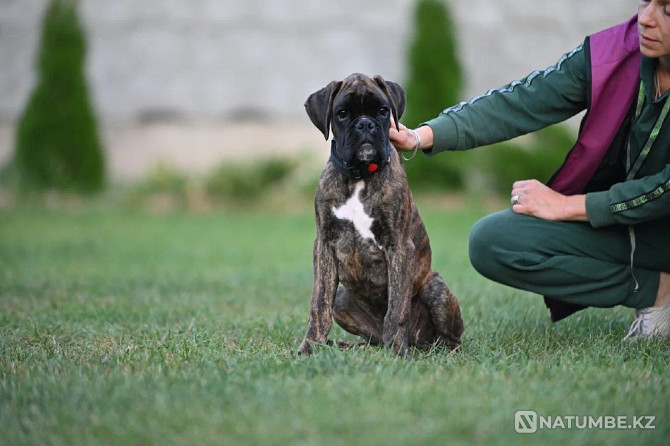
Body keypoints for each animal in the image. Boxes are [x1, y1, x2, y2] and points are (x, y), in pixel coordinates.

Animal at [298, 74, 462, 358]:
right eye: (342, 114)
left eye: (383, 111)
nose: (365, 124)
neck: (359, 176)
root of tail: (418, 342)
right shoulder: (324, 244)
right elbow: (319, 305)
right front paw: (310, 347)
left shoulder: (399, 247)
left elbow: (397, 308)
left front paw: (396, 352)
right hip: (343, 298)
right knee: (370, 337)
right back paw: (349, 346)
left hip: (435, 289)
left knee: (450, 340)